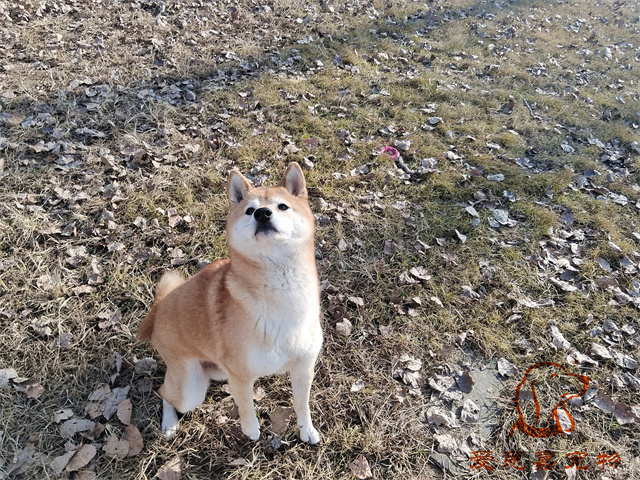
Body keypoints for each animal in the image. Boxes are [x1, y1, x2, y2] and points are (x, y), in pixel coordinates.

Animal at [139, 162, 322, 444]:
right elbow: (246, 405)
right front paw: (251, 430)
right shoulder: (240, 375)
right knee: (164, 392)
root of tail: (158, 310)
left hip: (216, 371)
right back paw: (169, 423)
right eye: (249, 210)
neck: (284, 295)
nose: (262, 213)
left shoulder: (303, 366)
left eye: (282, 206)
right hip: (191, 388)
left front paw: (307, 430)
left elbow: (302, 404)